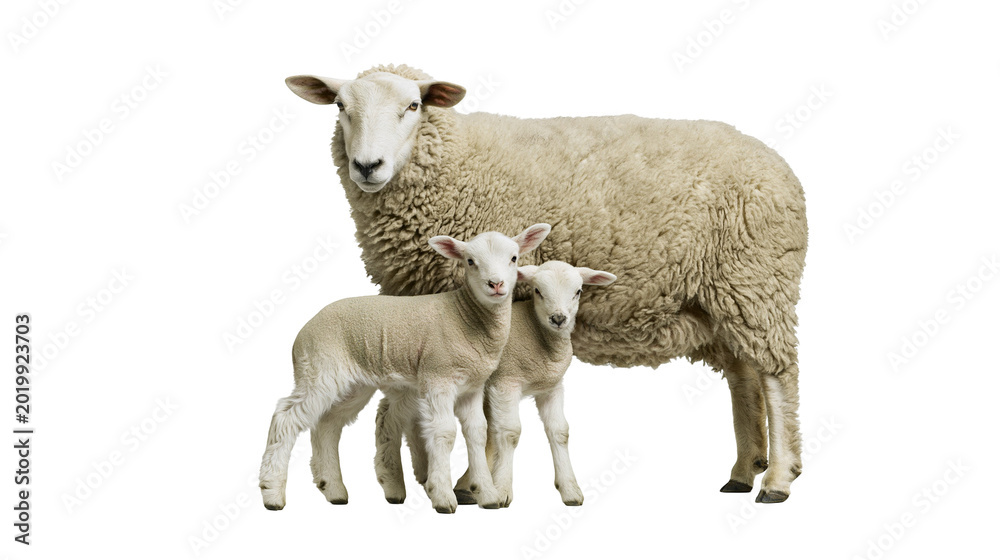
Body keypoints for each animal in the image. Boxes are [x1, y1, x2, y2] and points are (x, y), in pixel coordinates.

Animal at [258, 223, 552, 513]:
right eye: (470, 261)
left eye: (514, 258)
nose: (496, 284)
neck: (465, 316)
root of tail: (302, 333)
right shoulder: (438, 378)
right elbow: (445, 433)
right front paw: (444, 498)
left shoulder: (472, 386)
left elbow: (477, 433)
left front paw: (487, 495)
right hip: (319, 369)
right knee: (286, 417)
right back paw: (272, 493)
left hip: (352, 383)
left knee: (328, 424)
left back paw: (334, 490)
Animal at [374, 261, 617, 508]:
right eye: (538, 291)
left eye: (578, 291)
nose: (558, 319)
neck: (536, 332)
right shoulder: (505, 383)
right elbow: (510, 433)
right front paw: (502, 490)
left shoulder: (552, 388)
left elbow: (560, 432)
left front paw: (570, 490)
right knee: (389, 418)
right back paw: (395, 483)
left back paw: (420, 474)